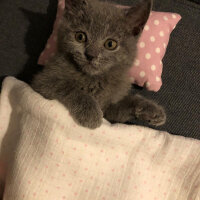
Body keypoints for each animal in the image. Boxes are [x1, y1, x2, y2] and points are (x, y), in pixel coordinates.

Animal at [31, 0, 166, 129]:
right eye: (80, 36)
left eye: (110, 44)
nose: (90, 55)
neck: (93, 78)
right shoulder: (43, 81)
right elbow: (68, 87)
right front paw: (91, 113)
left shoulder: (108, 108)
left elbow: (123, 106)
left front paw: (153, 111)